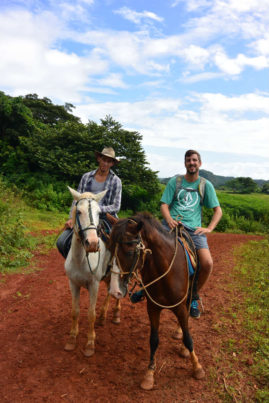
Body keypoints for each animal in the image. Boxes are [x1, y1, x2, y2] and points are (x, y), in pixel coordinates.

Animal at [63, 186, 119, 356]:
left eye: (99, 213)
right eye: (79, 211)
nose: (93, 243)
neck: (80, 260)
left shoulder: (94, 285)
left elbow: (90, 314)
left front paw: (90, 344)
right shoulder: (73, 283)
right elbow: (75, 311)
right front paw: (72, 339)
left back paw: (116, 315)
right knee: (109, 291)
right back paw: (103, 316)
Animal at [108, 213, 204, 392]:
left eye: (130, 251)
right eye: (110, 249)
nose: (114, 290)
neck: (166, 270)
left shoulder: (180, 307)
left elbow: (188, 338)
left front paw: (197, 367)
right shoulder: (152, 308)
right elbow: (153, 340)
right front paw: (149, 374)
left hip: (188, 297)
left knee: (188, 317)